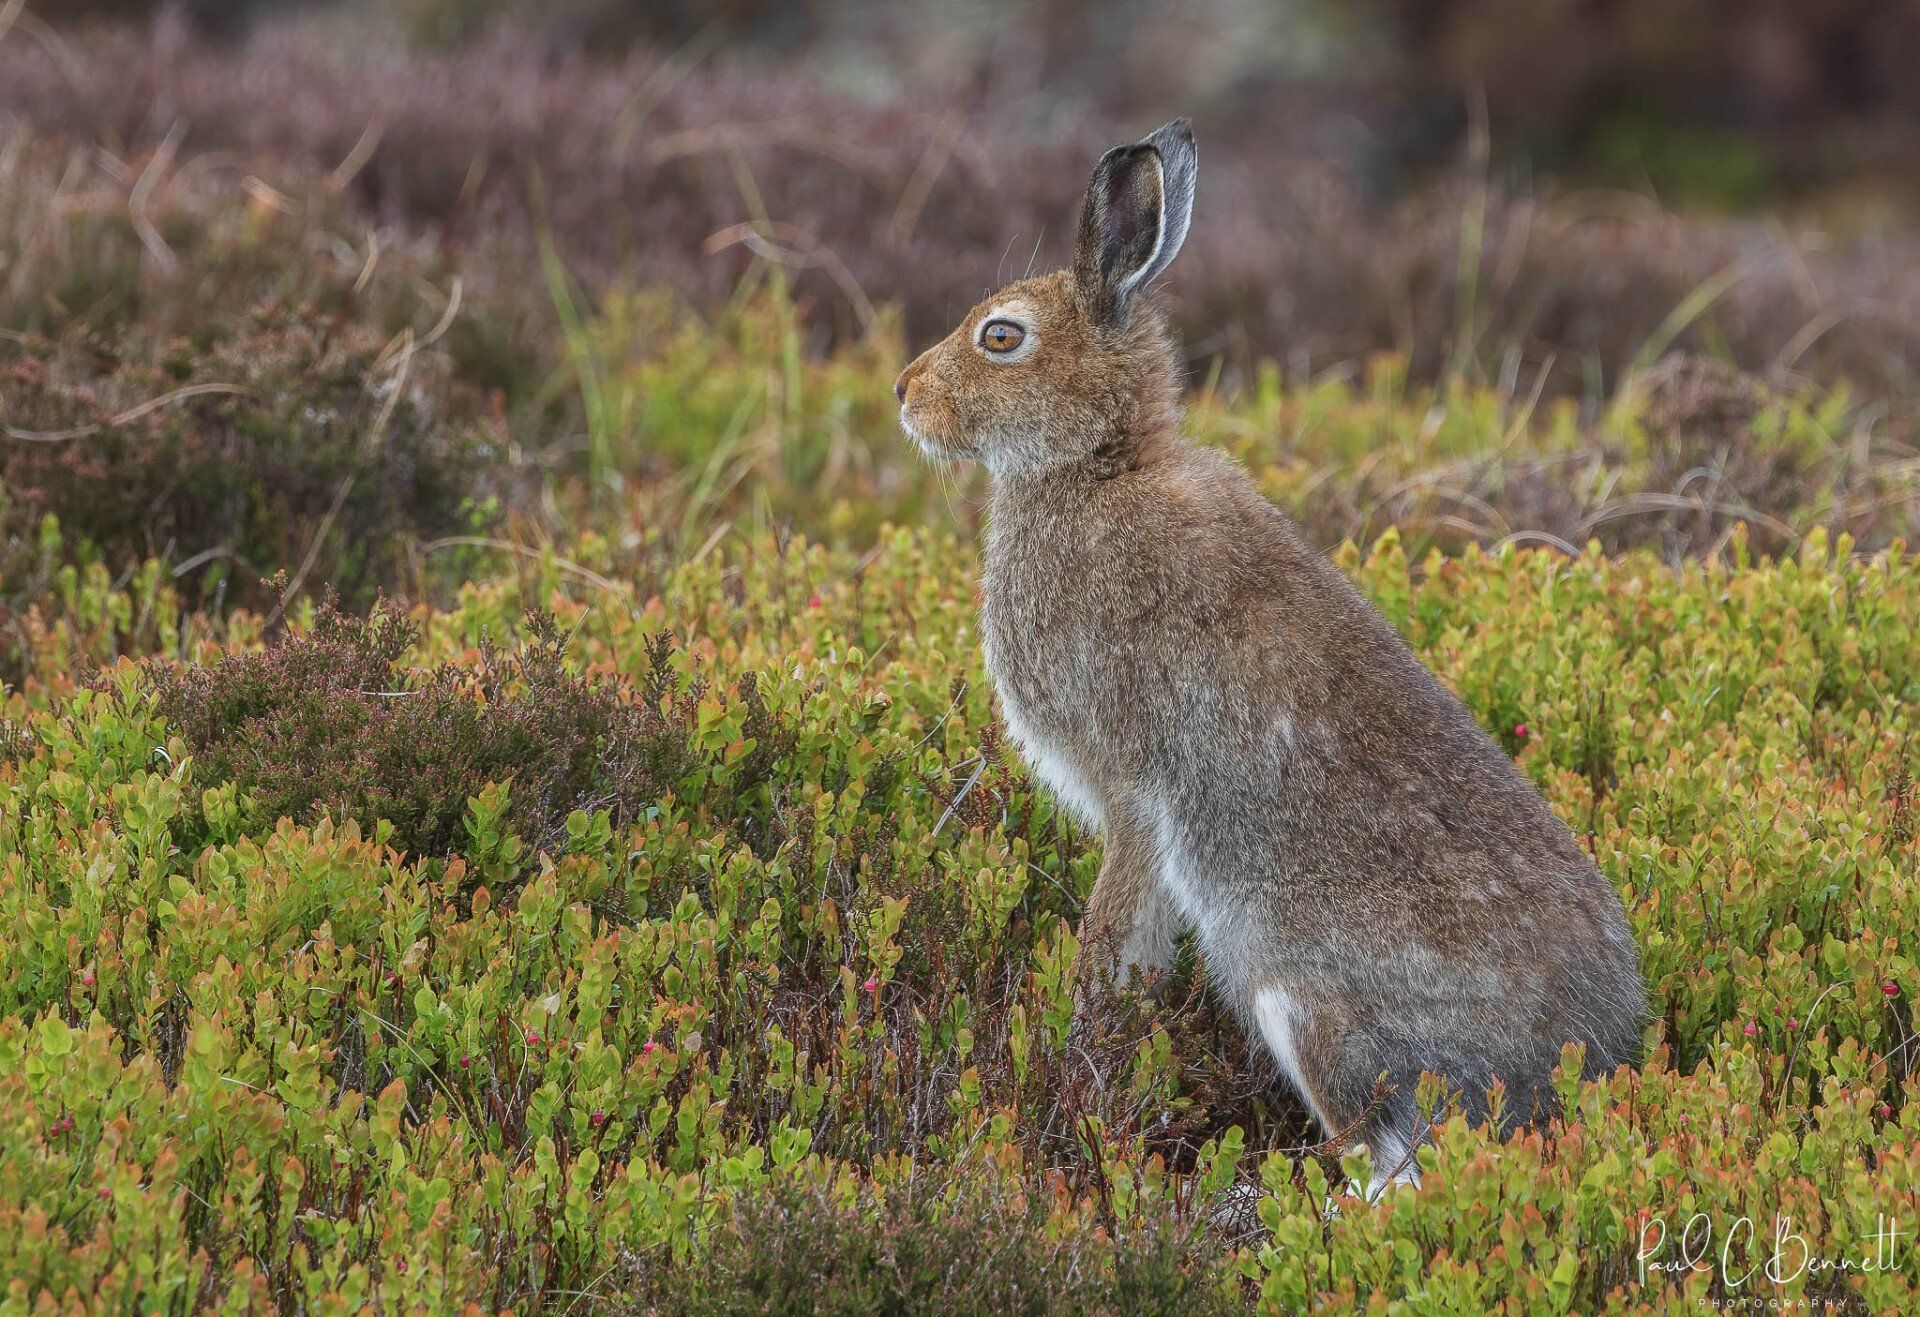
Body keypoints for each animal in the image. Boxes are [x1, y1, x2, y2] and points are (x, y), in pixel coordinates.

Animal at [893, 118, 1645, 1194]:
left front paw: (1082, 1049)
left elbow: (1114, 940)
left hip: (1305, 1005)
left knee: (1388, 1167)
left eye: (1002, 336)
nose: (905, 393)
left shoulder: (1132, 793)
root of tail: (1572, 1073)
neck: (1098, 465)